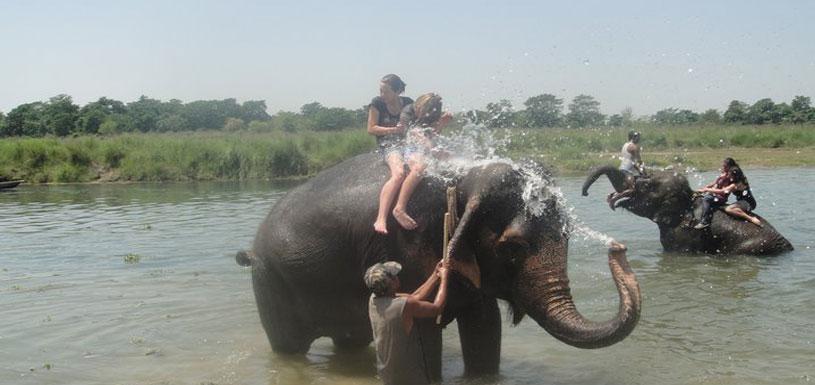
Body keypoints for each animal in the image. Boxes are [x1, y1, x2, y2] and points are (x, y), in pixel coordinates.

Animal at [236, 153, 644, 378]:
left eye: (568, 235)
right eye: (513, 248)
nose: (617, 249)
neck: (465, 178)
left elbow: (484, 325)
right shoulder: (407, 241)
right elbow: (422, 332)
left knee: (349, 341)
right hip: (270, 283)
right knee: (288, 348)